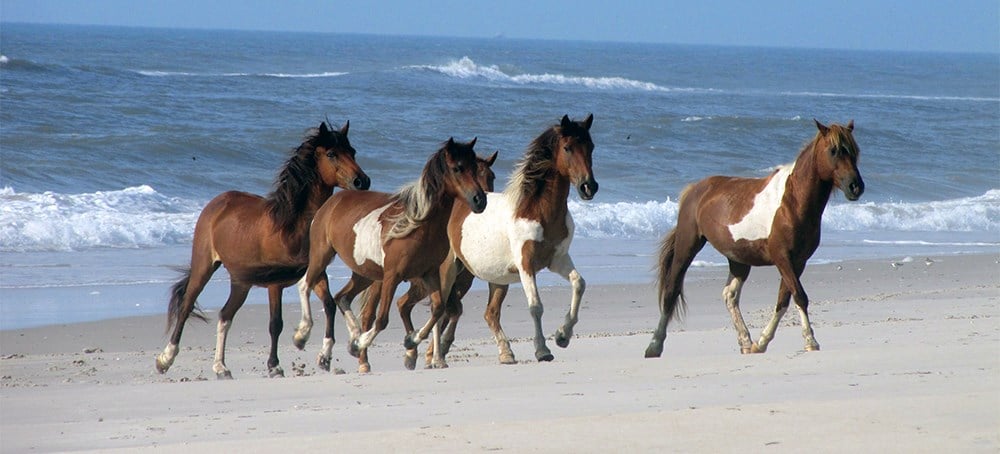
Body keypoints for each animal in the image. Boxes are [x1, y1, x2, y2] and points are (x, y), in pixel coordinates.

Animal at [156, 121, 372, 380]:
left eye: (352, 151)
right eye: (331, 154)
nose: (362, 181)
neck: (291, 226)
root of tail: (217, 202)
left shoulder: (317, 272)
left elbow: (329, 305)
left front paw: (324, 355)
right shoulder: (275, 283)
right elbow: (275, 323)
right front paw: (276, 364)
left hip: (241, 282)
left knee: (225, 315)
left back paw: (221, 367)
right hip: (204, 266)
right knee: (187, 305)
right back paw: (165, 359)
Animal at [298, 137, 486, 372]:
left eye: (474, 168)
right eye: (457, 168)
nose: (480, 200)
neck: (419, 225)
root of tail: (331, 202)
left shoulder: (429, 273)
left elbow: (437, 308)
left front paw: (410, 341)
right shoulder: (392, 277)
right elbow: (382, 319)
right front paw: (362, 344)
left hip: (364, 273)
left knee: (342, 297)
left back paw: (350, 339)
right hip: (322, 255)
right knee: (306, 285)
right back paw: (306, 338)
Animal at [444, 113, 596, 366]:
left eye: (591, 146)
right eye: (567, 148)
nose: (589, 187)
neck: (537, 212)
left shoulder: (558, 259)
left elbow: (579, 283)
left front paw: (562, 336)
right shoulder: (526, 265)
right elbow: (535, 306)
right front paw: (542, 350)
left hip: (494, 279)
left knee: (485, 312)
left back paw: (503, 353)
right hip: (456, 271)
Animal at [644, 119, 864, 358]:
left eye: (855, 151)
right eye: (834, 150)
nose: (856, 187)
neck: (792, 202)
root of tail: (695, 189)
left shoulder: (798, 262)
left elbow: (784, 300)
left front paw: (762, 342)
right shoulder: (783, 258)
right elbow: (799, 296)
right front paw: (810, 341)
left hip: (738, 259)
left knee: (729, 295)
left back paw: (746, 342)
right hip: (687, 246)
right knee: (672, 290)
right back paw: (654, 346)